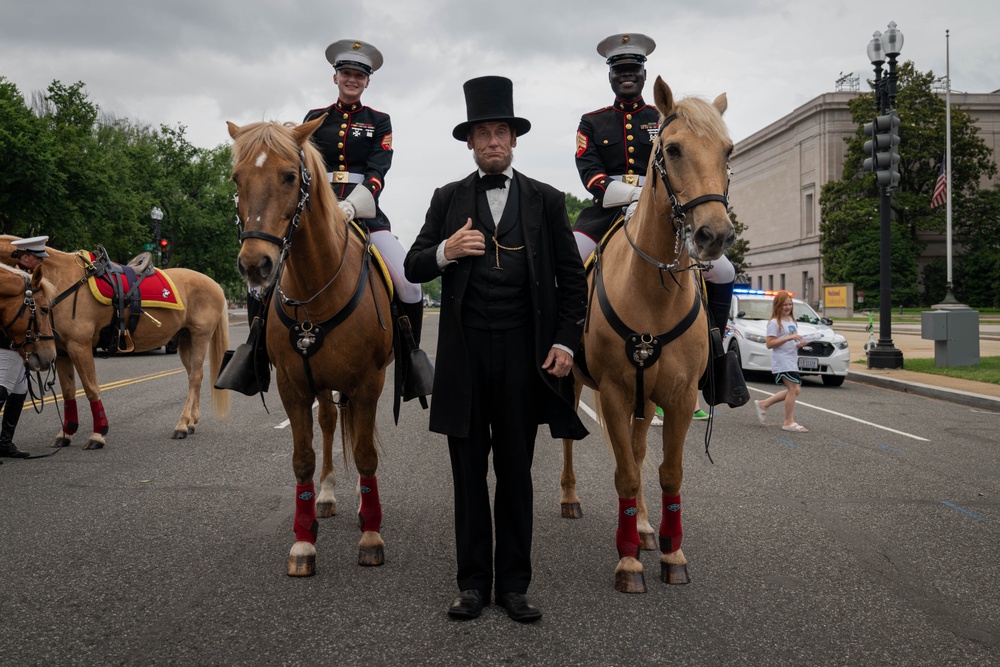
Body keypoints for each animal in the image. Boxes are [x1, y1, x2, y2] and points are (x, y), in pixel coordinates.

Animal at [0, 235, 229, 448]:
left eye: (44, 309)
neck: (64, 280)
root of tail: (215, 285)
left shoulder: (79, 346)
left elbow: (91, 387)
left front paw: (98, 433)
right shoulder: (63, 351)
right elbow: (68, 391)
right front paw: (66, 432)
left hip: (200, 336)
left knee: (195, 377)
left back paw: (181, 424)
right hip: (185, 339)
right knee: (193, 375)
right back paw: (191, 422)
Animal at [229, 117, 396, 576]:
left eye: (290, 176)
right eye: (236, 178)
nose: (255, 265)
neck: (316, 287)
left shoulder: (369, 382)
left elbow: (366, 453)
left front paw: (371, 535)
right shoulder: (294, 386)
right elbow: (302, 458)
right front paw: (303, 542)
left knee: (358, 435)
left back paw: (360, 503)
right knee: (329, 424)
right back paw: (327, 495)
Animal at [564, 78, 736, 596]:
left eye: (728, 150)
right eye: (673, 149)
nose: (714, 235)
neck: (654, 291)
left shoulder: (678, 398)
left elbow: (667, 473)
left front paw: (670, 551)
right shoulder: (615, 393)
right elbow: (623, 474)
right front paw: (628, 563)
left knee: (640, 453)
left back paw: (641, 527)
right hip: (577, 384)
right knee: (572, 440)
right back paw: (571, 498)